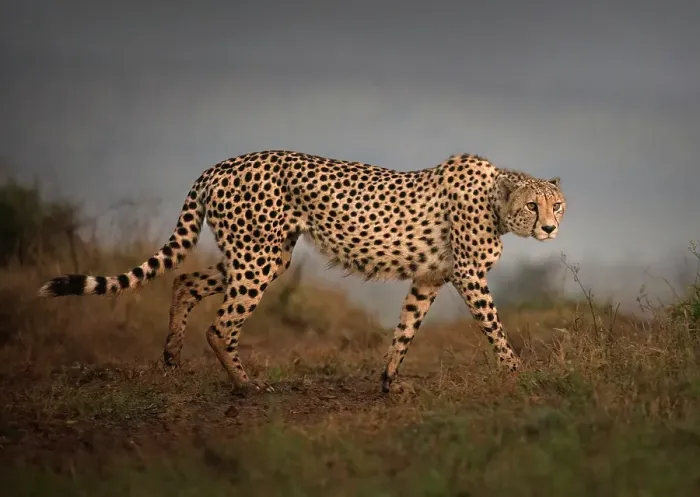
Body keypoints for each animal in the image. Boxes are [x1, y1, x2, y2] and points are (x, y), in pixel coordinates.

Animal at [37, 150, 566, 394]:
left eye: (557, 204)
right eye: (533, 206)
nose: (550, 227)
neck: (497, 201)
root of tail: (220, 165)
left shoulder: (428, 278)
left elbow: (405, 329)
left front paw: (388, 381)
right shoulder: (468, 276)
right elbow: (494, 326)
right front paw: (517, 372)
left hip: (260, 254)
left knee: (184, 280)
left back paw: (171, 355)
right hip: (258, 257)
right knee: (221, 325)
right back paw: (246, 384)